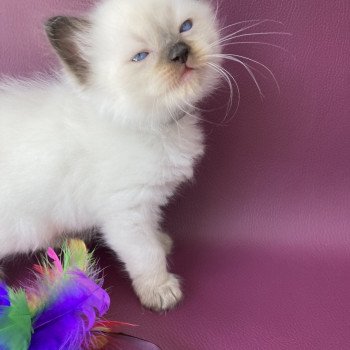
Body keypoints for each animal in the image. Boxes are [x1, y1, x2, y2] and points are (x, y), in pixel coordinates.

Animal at [0, 0, 221, 312]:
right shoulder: (126, 212)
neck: (151, 125)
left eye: (185, 27)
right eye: (141, 56)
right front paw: (160, 290)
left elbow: (153, 232)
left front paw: (162, 242)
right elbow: (146, 254)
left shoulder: (148, 202)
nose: (180, 52)